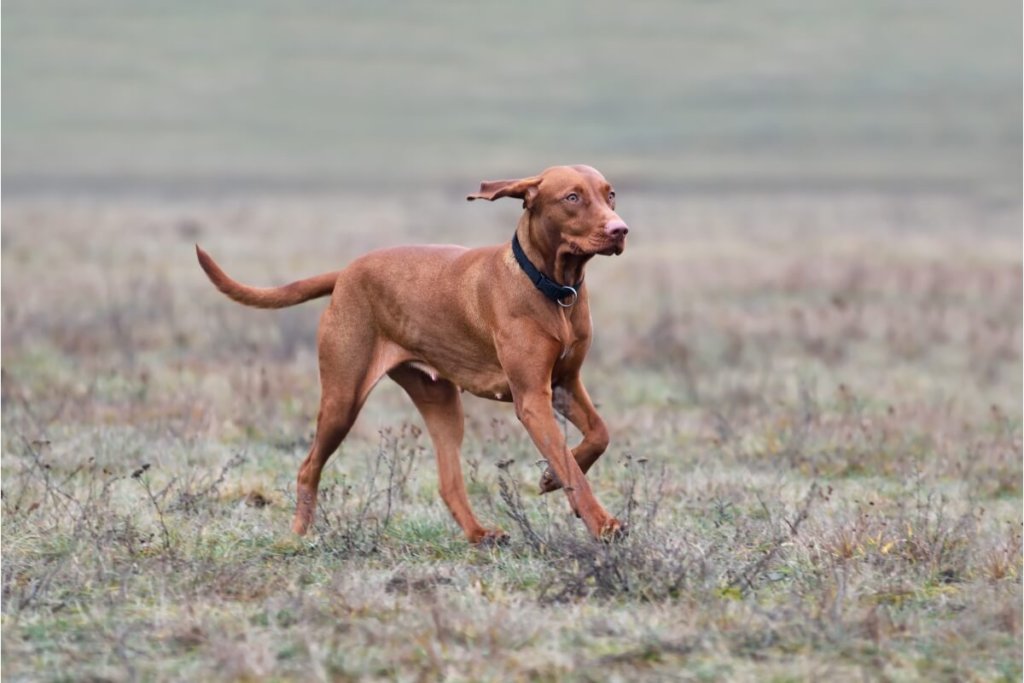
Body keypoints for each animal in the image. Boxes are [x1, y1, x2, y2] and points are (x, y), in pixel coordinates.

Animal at [196, 165, 626, 544]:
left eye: (610, 194)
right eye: (572, 198)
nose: (619, 230)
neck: (553, 288)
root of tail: (346, 273)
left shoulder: (564, 383)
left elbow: (598, 435)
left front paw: (551, 479)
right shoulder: (532, 398)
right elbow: (570, 466)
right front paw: (603, 524)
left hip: (441, 402)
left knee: (448, 482)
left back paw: (480, 535)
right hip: (342, 399)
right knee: (308, 467)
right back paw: (298, 537)